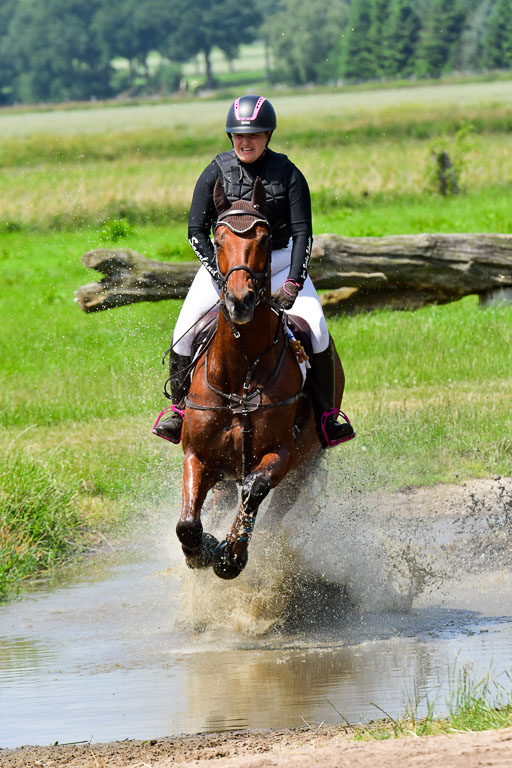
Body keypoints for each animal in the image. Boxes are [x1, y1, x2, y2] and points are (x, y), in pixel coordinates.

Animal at [174, 178, 345, 580]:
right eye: (219, 239)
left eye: (265, 240)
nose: (240, 300)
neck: (241, 374)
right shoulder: (197, 456)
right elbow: (187, 523)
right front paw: (201, 550)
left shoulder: (280, 454)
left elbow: (255, 488)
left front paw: (229, 556)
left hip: (303, 469)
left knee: (272, 514)